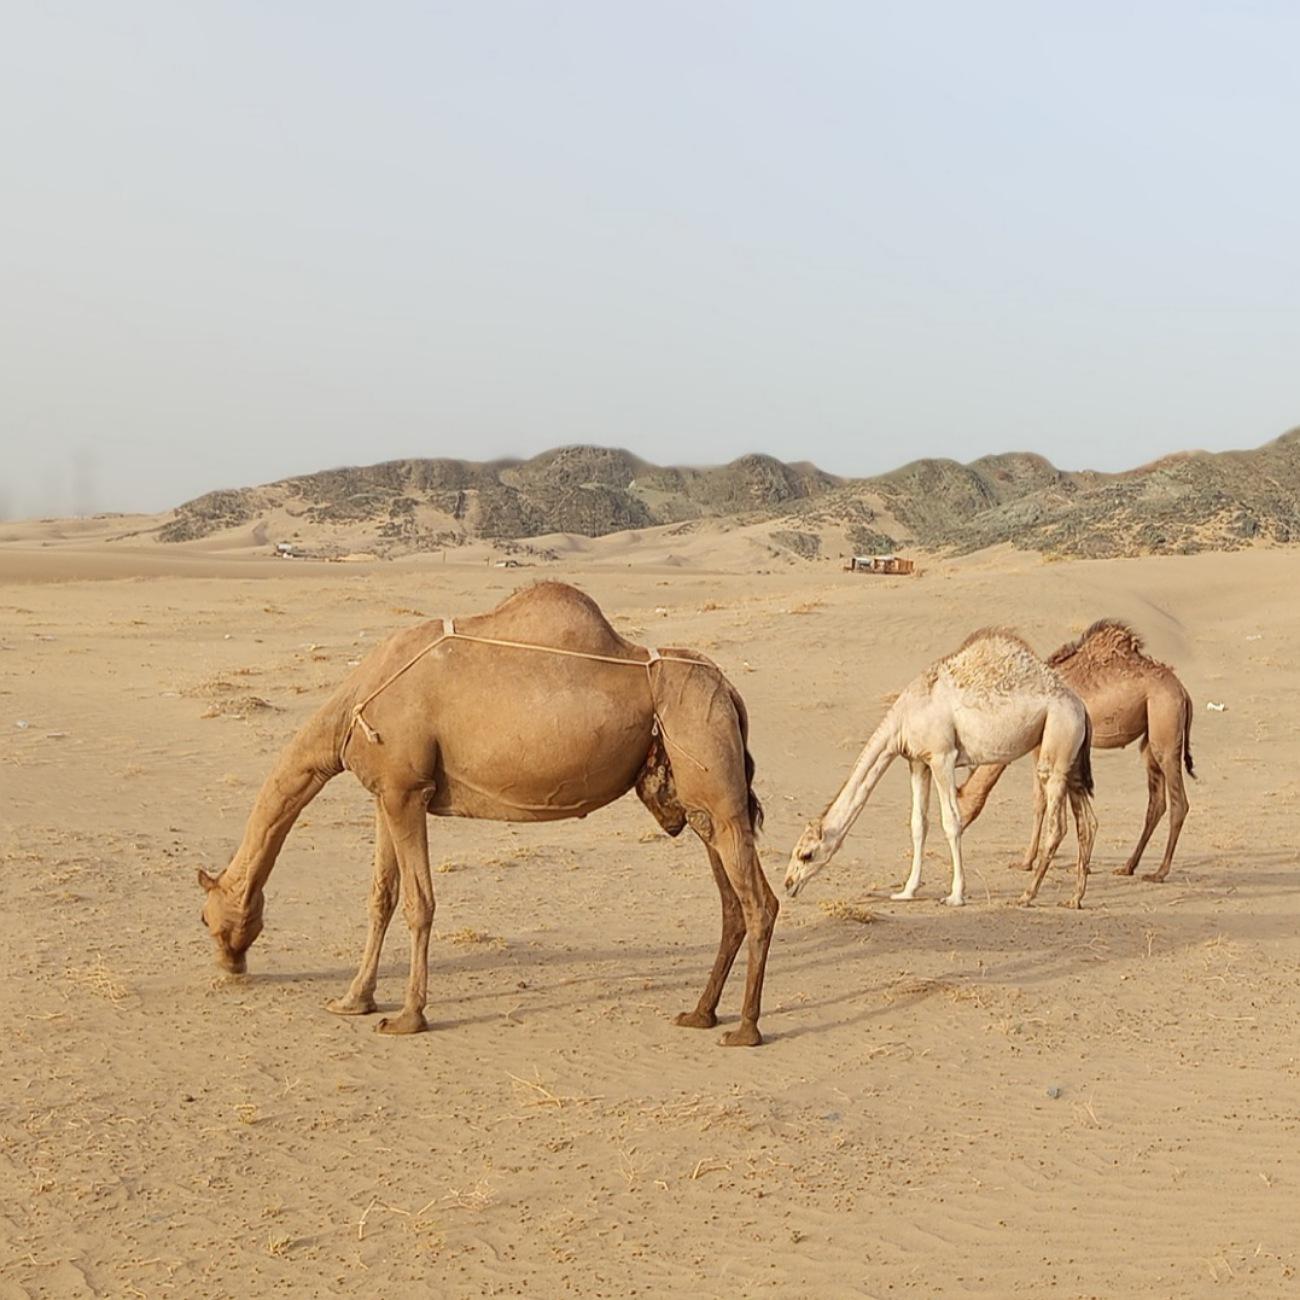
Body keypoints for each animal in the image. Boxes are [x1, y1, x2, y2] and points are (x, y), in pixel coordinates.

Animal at [197, 582, 777, 1047]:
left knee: (760, 902)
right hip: (700, 800)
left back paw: (746, 1029)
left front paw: (407, 1017)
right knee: (730, 902)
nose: (230, 965)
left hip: (714, 774)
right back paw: (700, 1014)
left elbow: (419, 902)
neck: (349, 708)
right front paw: (353, 1000)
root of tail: (729, 689)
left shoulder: (408, 790)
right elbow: (381, 897)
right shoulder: (387, 791)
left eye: (205, 917)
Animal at [784, 629, 1097, 908]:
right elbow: (918, 824)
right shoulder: (917, 761)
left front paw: (955, 896)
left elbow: (951, 821)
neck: (903, 717)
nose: (788, 884)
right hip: (1071, 757)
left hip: (1057, 740)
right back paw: (1074, 899)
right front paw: (906, 891)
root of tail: (1081, 707)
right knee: (1087, 822)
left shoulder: (941, 756)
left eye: (806, 854)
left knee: (1058, 825)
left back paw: (1027, 895)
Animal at [958, 618, 1194, 882]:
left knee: (1179, 802)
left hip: (1166, 723)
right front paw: (1080, 866)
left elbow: (1040, 800)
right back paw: (1128, 866)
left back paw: (1159, 872)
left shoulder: (1041, 747)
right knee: (1157, 802)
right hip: (1150, 735)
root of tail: (1183, 691)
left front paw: (1026, 862)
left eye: (956, 801)